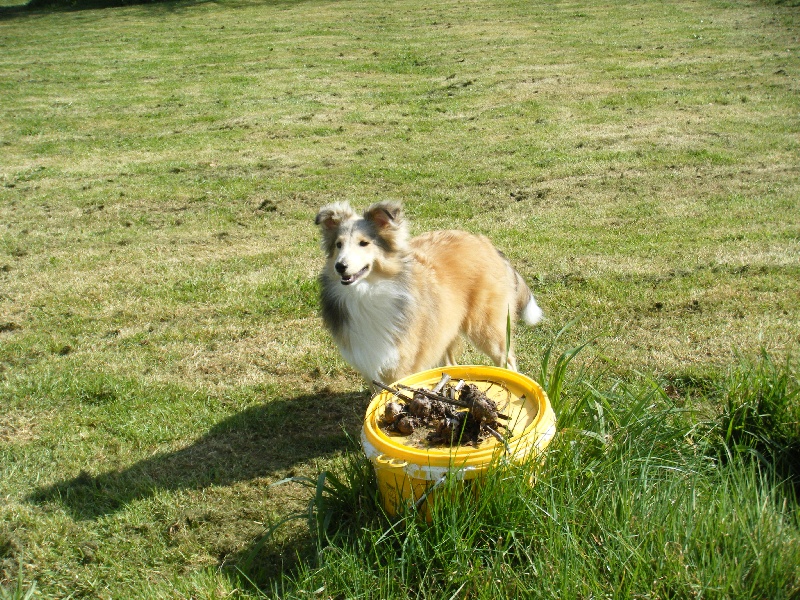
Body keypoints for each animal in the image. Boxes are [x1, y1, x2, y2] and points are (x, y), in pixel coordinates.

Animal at [315, 200, 543, 385]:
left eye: (364, 243)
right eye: (338, 244)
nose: (340, 267)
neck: (367, 292)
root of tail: (484, 242)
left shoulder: (400, 367)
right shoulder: (370, 366)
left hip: (487, 328)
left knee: (508, 362)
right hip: (445, 327)